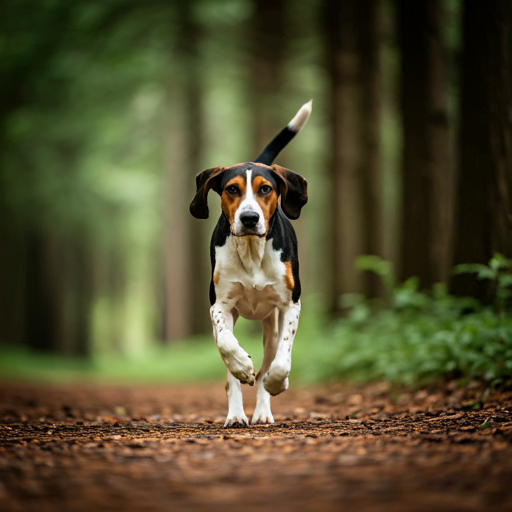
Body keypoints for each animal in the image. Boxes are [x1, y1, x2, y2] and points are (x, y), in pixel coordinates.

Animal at [190, 101, 312, 428]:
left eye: (265, 189)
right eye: (232, 189)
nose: (249, 218)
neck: (251, 250)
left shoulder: (290, 304)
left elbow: (282, 358)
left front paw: (277, 382)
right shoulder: (219, 306)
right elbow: (227, 345)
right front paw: (243, 366)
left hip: (270, 324)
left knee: (272, 356)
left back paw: (262, 411)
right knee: (228, 367)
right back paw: (236, 414)